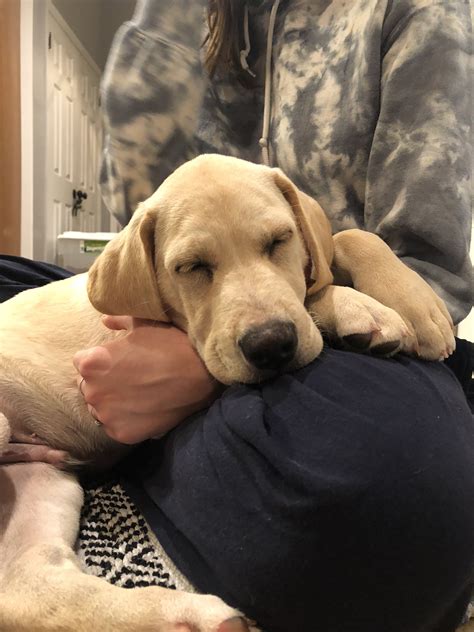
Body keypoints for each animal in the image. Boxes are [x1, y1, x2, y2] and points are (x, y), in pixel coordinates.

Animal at [0, 154, 454, 632]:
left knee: (32, 583)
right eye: (192, 267)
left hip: (42, 482)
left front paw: (412, 304)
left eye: (279, 241)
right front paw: (363, 307)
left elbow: (345, 237)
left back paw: (192, 618)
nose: (270, 345)